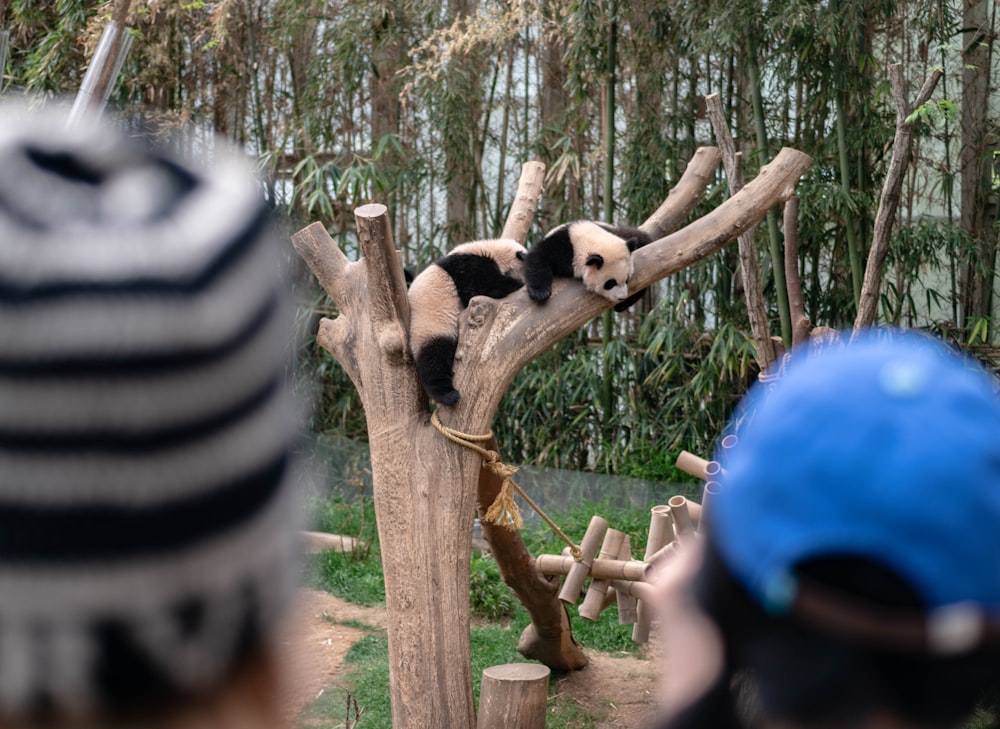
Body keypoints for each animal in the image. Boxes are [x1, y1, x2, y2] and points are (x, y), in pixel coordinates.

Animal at [408, 239, 528, 406]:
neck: (492, 250)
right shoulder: (468, 266)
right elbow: (484, 287)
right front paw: (517, 283)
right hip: (430, 325)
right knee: (434, 357)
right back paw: (447, 395)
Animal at [524, 219, 656, 310]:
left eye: (627, 280)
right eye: (610, 283)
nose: (622, 298)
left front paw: (622, 305)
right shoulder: (563, 245)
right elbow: (539, 255)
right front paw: (540, 293)